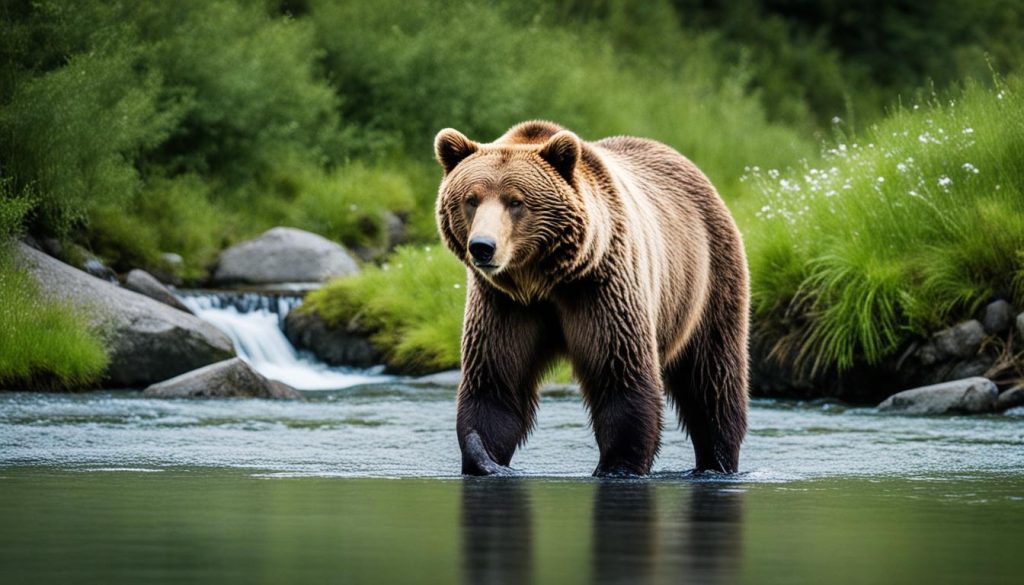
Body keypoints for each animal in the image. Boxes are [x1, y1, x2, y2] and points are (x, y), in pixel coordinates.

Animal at [436, 121, 749, 477]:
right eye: (471, 199)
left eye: (516, 201)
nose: (483, 247)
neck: (543, 280)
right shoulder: (504, 304)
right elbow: (495, 382)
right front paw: (485, 457)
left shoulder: (602, 288)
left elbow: (621, 375)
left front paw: (619, 465)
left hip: (710, 280)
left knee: (712, 380)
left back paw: (718, 460)